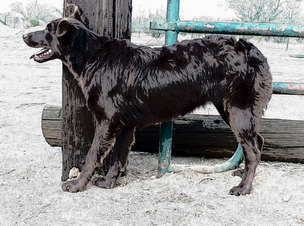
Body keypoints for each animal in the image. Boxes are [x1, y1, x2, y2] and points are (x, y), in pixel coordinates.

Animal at [22, 5, 272, 196]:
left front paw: (77, 184)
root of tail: (251, 49)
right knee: (256, 142)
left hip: (237, 110)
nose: (24, 36)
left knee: (253, 149)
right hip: (234, 111)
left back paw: (244, 187)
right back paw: (243, 174)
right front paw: (109, 182)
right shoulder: (124, 125)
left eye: (47, 30)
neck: (93, 57)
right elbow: (118, 157)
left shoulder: (107, 122)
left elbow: (92, 155)